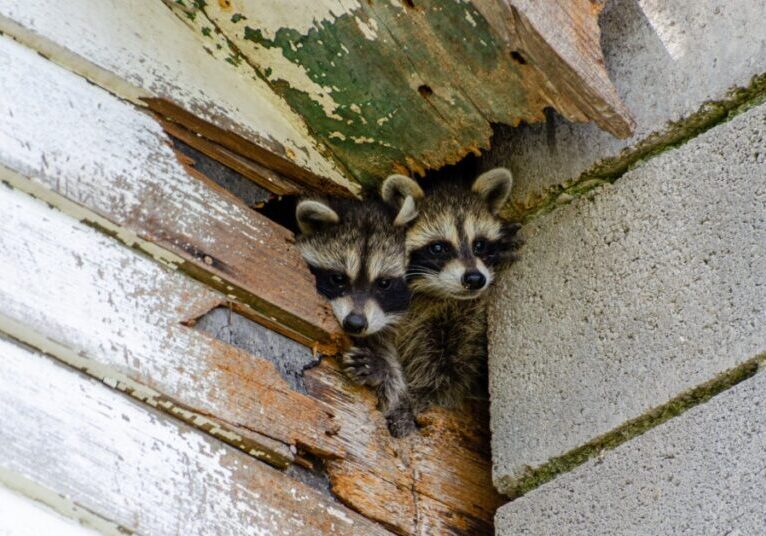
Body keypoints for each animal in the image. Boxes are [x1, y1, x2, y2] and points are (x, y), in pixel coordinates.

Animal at [382, 168, 524, 436]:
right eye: (438, 248)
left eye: (480, 244)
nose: (475, 279)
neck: (435, 293)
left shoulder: (463, 316)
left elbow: (452, 368)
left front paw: (420, 397)